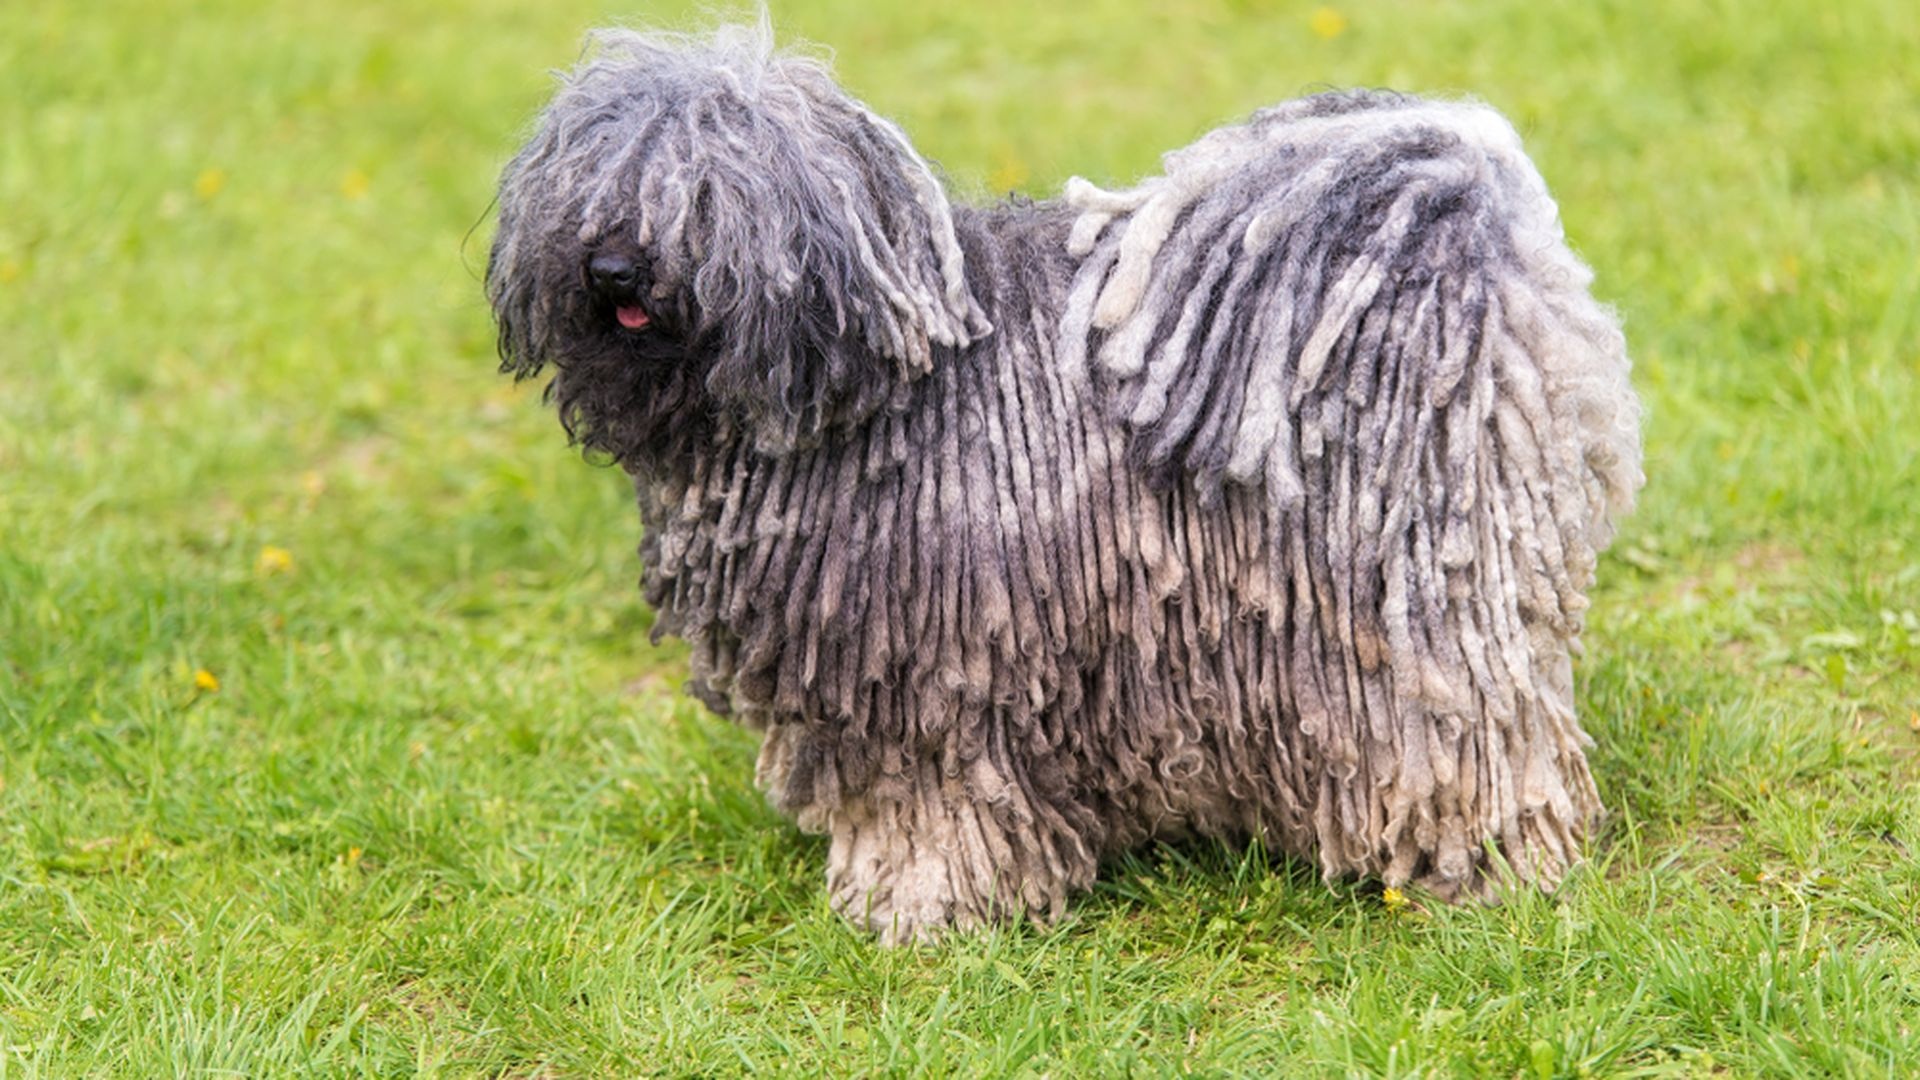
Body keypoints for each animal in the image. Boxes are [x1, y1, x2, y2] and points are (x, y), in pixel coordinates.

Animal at [487, 18, 1643, 941]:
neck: (885, 369)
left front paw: (921, 909)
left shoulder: (939, 665)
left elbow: (937, 803)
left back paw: (1486, 868)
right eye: (594, 179)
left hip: (1413, 599)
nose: (614, 268)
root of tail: (1466, 231)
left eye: (709, 189)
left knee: (1471, 730)